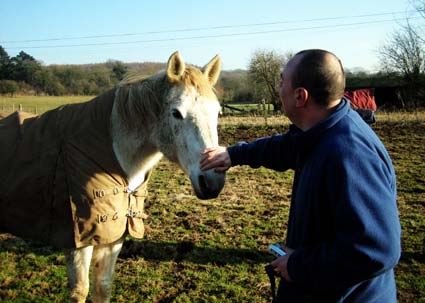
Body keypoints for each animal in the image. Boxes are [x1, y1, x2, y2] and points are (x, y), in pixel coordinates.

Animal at [0, 51, 225, 302]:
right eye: (176, 113)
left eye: (217, 113)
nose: (212, 181)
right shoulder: (78, 239)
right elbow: (80, 290)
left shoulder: (114, 234)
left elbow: (103, 287)